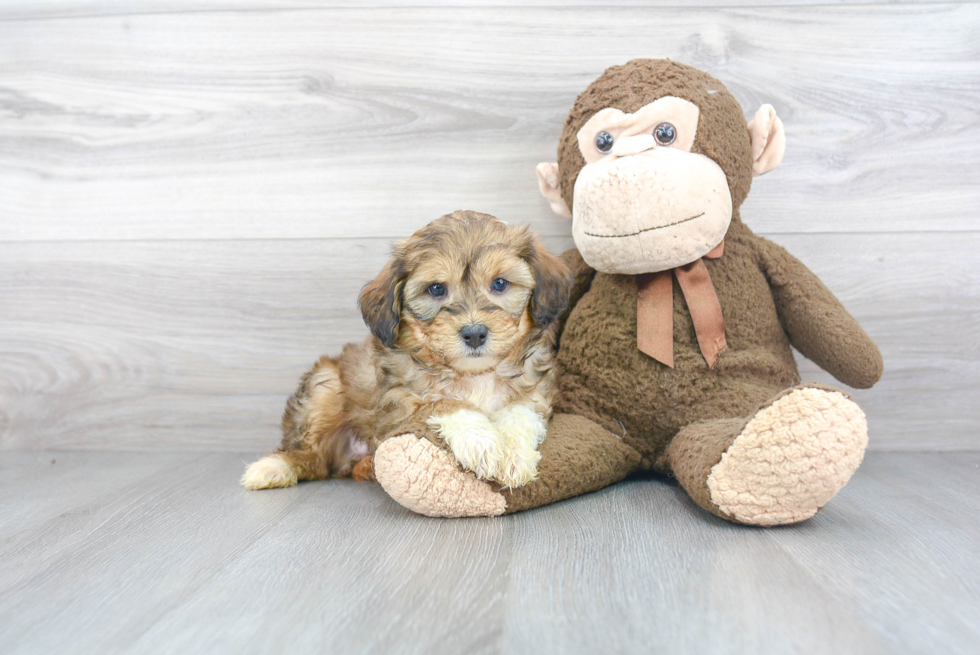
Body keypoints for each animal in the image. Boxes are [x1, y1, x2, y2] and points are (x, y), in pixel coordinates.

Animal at [240, 210, 572, 492]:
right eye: (437, 289)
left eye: (500, 284)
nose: (475, 333)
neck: (473, 373)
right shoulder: (396, 403)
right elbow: (445, 403)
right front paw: (483, 444)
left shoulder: (535, 394)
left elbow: (519, 412)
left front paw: (515, 456)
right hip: (325, 385)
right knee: (314, 460)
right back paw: (273, 468)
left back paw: (366, 467)